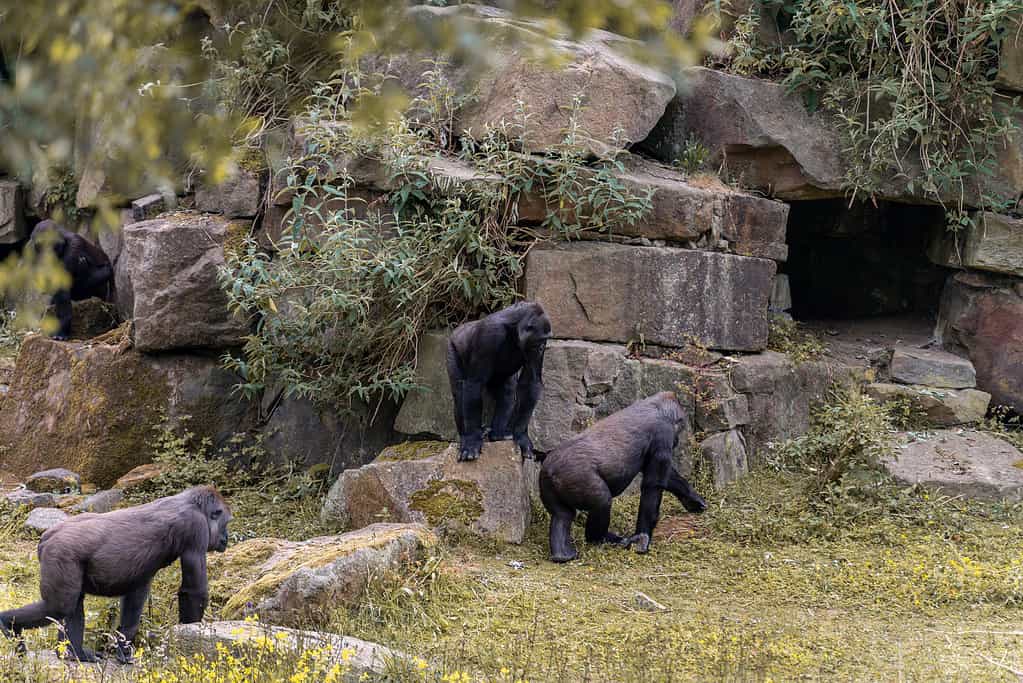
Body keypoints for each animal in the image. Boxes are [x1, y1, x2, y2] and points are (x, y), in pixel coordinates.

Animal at [0, 486, 231, 663]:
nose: (226, 538)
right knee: (59, 606)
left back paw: (74, 653)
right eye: (226, 523)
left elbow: (134, 599)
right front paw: (190, 636)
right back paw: (9, 624)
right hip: (61, 553)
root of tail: (47, 536)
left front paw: (123, 646)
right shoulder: (196, 528)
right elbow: (194, 591)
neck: (193, 503)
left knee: (72, 606)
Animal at [446, 301, 551, 462]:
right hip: (452, 348)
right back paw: (465, 436)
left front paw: (521, 435)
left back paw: (497, 434)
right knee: (459, 393)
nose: (541, 347)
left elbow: (531, 382)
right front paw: (471, 442)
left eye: (546, 339)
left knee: (508, 391)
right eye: (541, 339)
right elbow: (475, 383)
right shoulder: (490, 334)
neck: (515, 329)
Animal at [539, 392, 707, 563]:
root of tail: (550, 468)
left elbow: (667, 479)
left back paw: (563, 554)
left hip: (546, 482)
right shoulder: (663, 433)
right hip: (578, 477)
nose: (677, 441)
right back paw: (600, 538)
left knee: (562, 515)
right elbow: (652, 486)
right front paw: (642, 537)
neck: (657, 407)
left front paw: (692, 499)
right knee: (602, 502)